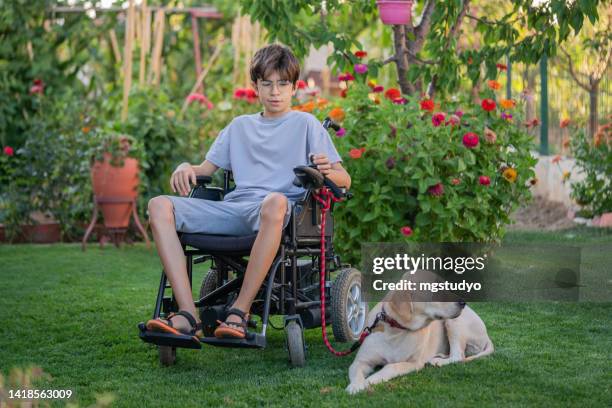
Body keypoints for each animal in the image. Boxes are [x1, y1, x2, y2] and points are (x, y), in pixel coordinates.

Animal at [346, 270, 494, 396]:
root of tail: (487, 336)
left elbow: (391, 367)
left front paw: (370, 381)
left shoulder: (414, 363)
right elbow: (356, 371)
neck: (395, 331)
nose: (463, 302)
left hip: (454, 322)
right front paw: (356, 386)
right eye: (435, 288)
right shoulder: (361, 361)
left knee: (458, 356)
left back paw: (438, 361)